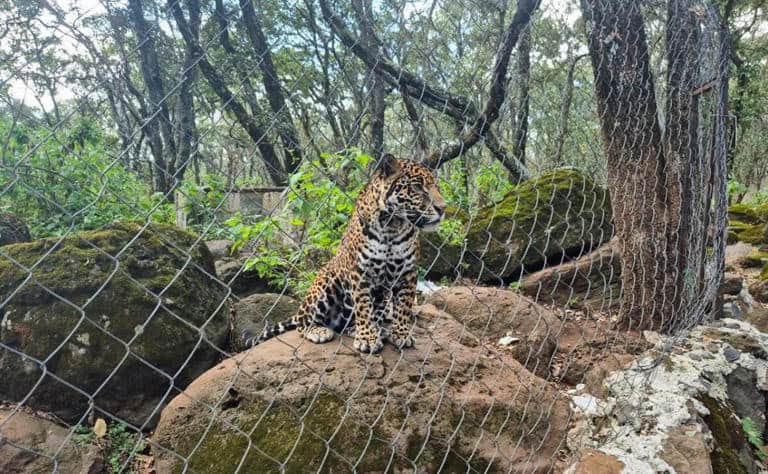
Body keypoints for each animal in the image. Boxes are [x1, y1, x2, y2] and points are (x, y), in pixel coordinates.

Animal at [243, 154, 446, 353]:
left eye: (436, 187)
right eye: (417, 187)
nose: (443, 208)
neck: (392, 226)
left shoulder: (407, 272)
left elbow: (404, 306)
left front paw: (401, 334)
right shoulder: (360, 271)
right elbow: (363, 306)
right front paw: (367, 339)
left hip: (380, 296)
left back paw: (371, 329)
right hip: (326, 281)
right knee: (304, 322)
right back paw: (320, 330)